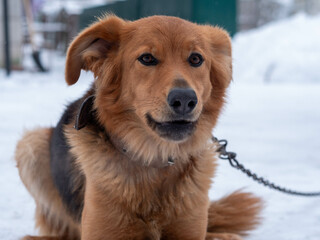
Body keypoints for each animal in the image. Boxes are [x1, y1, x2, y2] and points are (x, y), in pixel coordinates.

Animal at [15, 15, 262, 240]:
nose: (185, 100)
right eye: (147, 58)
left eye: (195, 59)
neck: (154, 159)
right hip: (31, 143)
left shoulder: (189, 229)